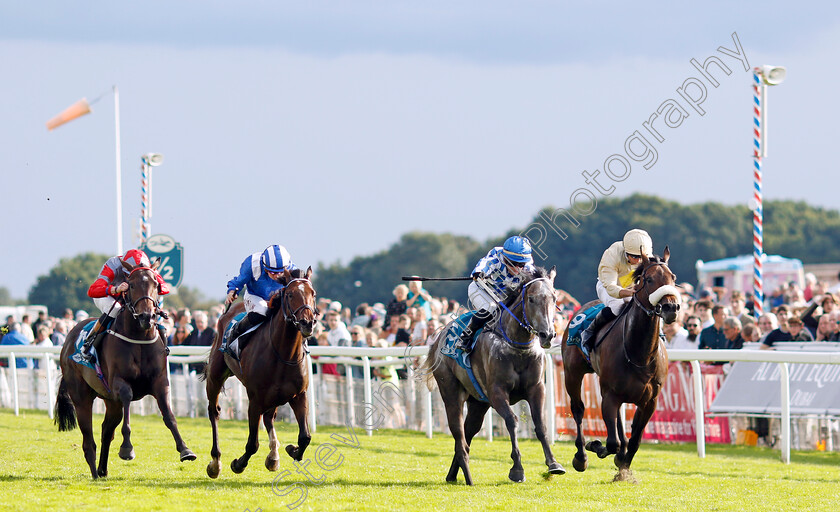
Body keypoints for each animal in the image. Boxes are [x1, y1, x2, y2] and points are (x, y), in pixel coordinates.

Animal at [55, 260, 196, 480]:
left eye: (156, 284)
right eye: (130, 285)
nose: (147, 316)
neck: (139, 337)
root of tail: (69, 339)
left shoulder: (160, 382)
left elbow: (169, 415)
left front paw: (185, 450)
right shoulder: (119, 383)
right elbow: (128, 398)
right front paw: (127, 449)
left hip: (111, 402)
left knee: (106, 431)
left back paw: (102, 470)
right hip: (81, 397)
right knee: (88, 440)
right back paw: (95, 472)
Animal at [204, 266, 318, 478]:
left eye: (312, 293)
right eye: (290, 294)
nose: (307, 323)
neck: (283, 353)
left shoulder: (299, 395)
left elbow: (305, 437)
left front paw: (292, 450)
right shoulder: (255, 399)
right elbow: (252, 444)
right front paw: (238, 464)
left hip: (275, 396)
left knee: (269, 417)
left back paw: (273, 456)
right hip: (215, 376)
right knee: (214, 412)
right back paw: (215, 462)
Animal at [424, 266, 568, 486]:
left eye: (554, 298)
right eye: (531, 299)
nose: (548, 335)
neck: (518, 346)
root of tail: (439, 337)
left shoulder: (536, 388)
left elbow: (541, 425)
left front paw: (553, 464)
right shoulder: (497, 391)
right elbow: (512, 420)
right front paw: (517, 469)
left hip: (478, 403)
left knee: (467, 434)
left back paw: (452, 475)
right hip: (451, 392)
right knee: (459, 434)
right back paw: (468, 477)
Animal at [556, 247, 684, 480]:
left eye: (673, 278)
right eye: (649, 279)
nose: (671, 307)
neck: (640, 354)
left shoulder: (649, 401)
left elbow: (634, 440)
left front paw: (623, 466)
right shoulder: (610, 395)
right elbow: (611, 442)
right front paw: (597, 446)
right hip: (572, 373)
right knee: (578, 410)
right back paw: (581, 456)